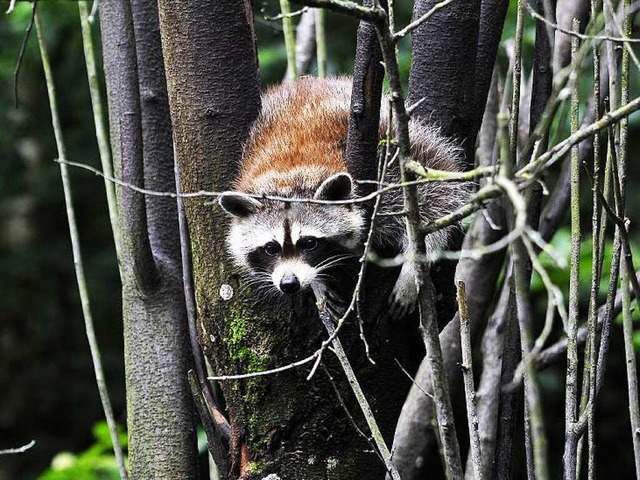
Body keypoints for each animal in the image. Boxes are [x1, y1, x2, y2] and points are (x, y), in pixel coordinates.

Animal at [219, 77, 464, 316]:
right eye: (271, 248)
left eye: (309, 243)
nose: (289, 283)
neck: (290, 172)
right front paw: (317, 283)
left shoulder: (387, 165)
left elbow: (433, 199)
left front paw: (412, 267)